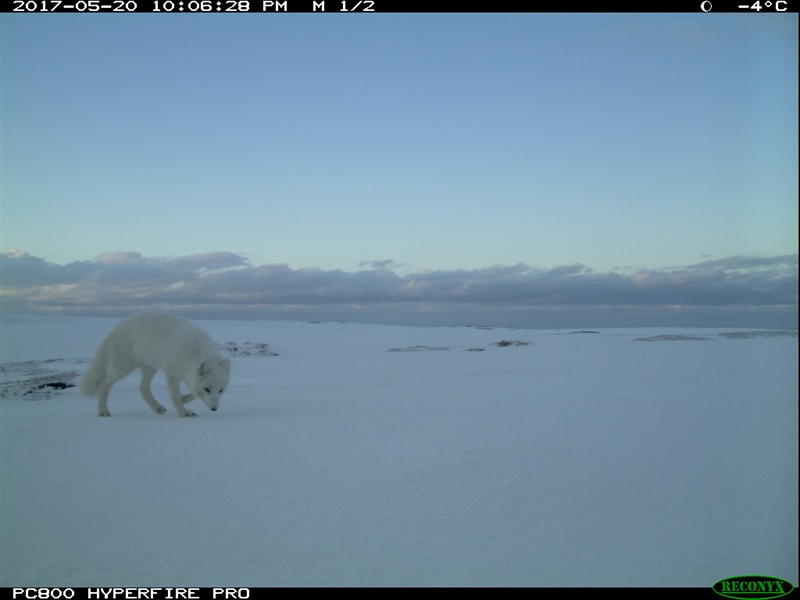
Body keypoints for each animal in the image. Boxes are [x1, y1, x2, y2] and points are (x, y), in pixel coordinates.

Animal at [79, 314, 230, 418]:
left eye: (221, 390)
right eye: (207, 389)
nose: (214, 409)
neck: (195, 352)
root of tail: (119, 325)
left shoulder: (187, 374)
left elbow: (192, 393)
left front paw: (184, 399)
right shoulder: (171, 372)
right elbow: (176, 395)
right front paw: (183, 411)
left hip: (150, 368)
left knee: (143, 388)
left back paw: (157, 407)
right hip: (122, 368)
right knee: (105, 385)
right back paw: (103, 410)